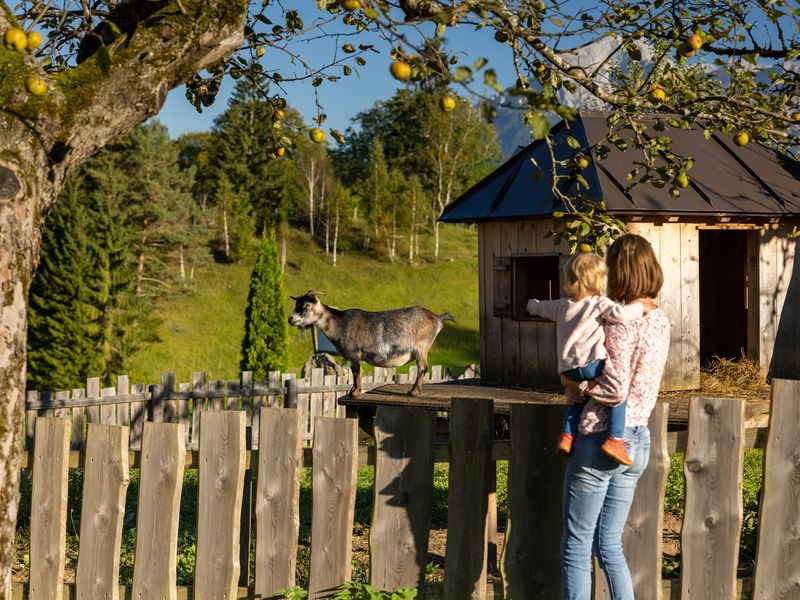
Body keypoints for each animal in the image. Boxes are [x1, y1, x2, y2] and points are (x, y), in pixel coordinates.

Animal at [288, 292, 454, 396]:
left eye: (306, 306)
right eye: (296, 305)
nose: (290, 319)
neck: (340, 323)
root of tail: (437, 318)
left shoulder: (355, 354)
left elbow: (356, 371)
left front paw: (355, 393)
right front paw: (352, 391)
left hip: (421, 348)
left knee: (423, 367)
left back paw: (413, 392)